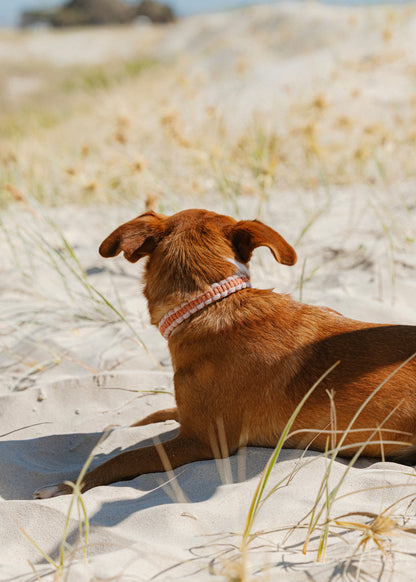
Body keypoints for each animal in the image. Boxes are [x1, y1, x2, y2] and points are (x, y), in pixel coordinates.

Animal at [33, 211, 416, 502]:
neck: (209, 303)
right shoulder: (191, 415)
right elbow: (156, 414)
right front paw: (127, 424)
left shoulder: (203, 441)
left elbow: (123, 459)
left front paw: (66, 486)